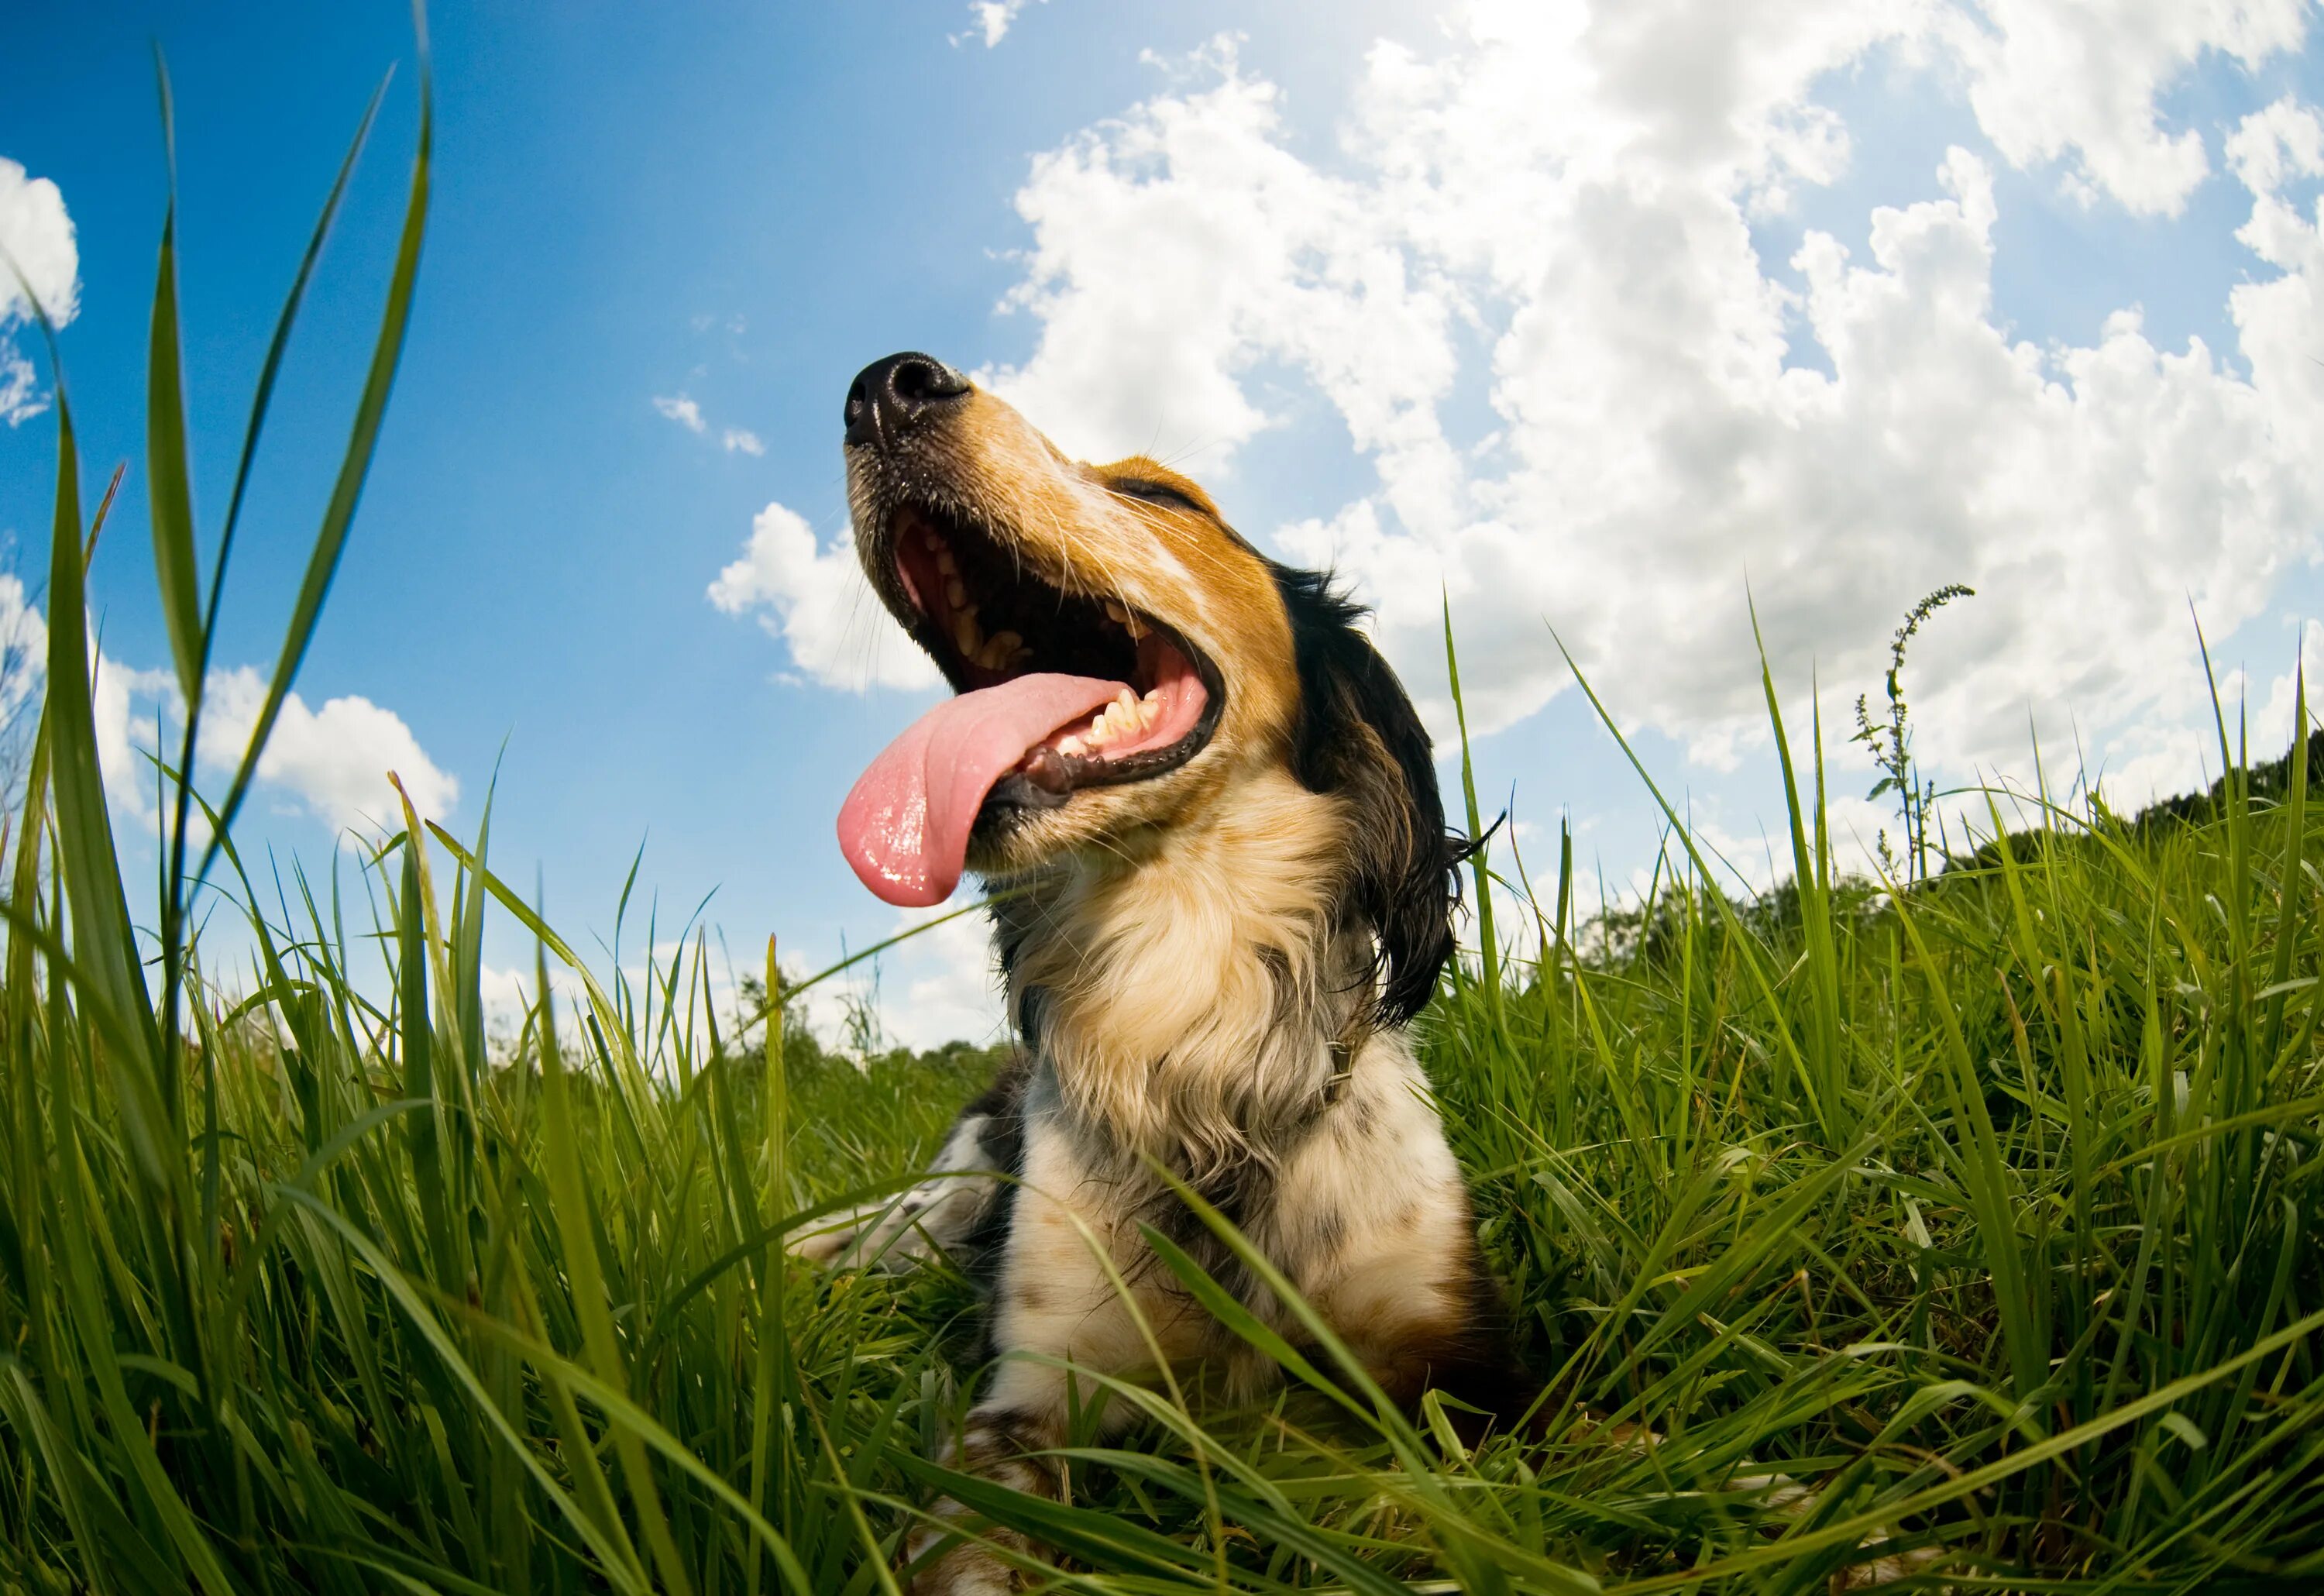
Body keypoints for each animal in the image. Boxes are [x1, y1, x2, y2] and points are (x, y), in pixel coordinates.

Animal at [809, 355, 1515, 1589]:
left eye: (1162, 495)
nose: (884, 387)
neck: (1191, 1022)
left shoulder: (1465, 1364)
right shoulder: (1023, 1403)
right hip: (935, 1212)